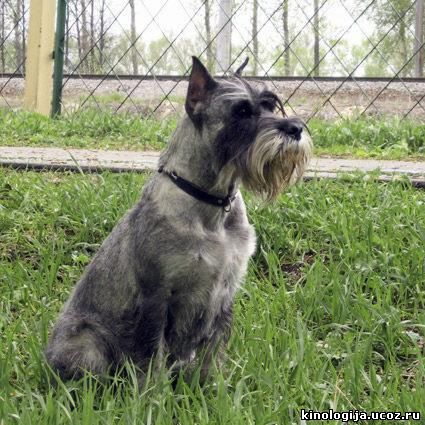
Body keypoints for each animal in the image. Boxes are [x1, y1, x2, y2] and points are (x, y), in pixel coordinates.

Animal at [45, 55, 312, 380]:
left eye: (271, 106)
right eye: (242, 111)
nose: (296, 128)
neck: (211, 206)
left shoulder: (225, 292)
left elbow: (214, 351)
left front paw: (212, 385)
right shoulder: (157, 297)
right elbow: (151, 355)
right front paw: (154, 393)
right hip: (87, 344)